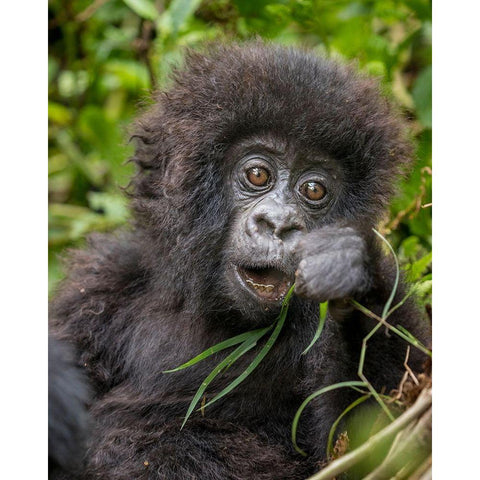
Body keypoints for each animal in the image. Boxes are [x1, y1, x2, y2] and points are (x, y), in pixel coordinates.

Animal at [49, 43, 432, 478]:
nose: (279, 223)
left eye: (314, 189)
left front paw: (354, 272)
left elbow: (374, 446)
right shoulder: (98, 285)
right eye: (257, 174)